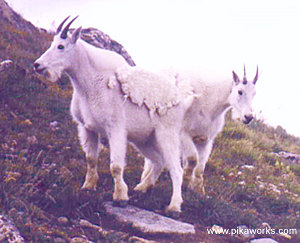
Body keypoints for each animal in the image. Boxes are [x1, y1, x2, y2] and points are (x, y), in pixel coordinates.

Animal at [34, 16, 195, 213]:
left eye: (61, 46)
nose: (37, 65)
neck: (89, 84)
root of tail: (181, 101)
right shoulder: (87, 128)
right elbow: (91, 159)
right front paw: (88, 186)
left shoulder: (116, 128)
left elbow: (116, 166)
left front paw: (120, 197)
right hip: (145, 139)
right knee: (158, 161)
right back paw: (142, 188)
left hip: (167, 134)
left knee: (175, 169)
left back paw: (174, 206)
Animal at [138, 67, 258, 196]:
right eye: (240, 91)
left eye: (254, 93)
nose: (248, 117)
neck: (211, 103)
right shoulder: (183, 134)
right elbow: (192, 159)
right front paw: (185, 181)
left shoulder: (206, 139)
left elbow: (200, 166)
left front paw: (198, 189)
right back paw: (145, 178)